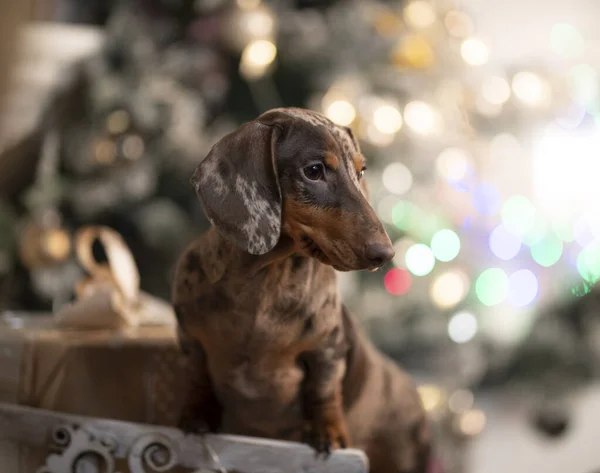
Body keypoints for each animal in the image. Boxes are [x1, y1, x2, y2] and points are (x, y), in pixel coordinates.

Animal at [172, 108, 432, 472]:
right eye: (314, 171)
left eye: (361, 170)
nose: (385, 254)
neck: (265, 281)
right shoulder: (188, 335)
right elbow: (196, 375)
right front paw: (195, 416)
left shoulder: (329, 347)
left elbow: (323, 389)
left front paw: (328, 432)